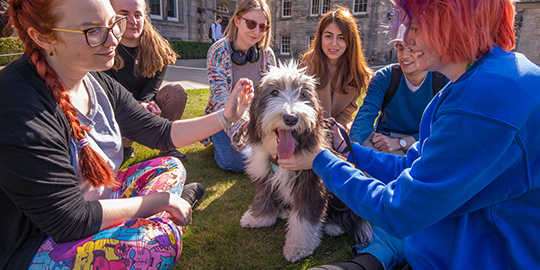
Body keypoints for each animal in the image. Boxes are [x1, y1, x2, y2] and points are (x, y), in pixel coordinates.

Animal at [240, 60, 372, 262]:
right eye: (274, 92)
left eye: (302, 95)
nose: (291, 118)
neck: (282, 156)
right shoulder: (264, 175)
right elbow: (263, 196)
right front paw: (256, 218)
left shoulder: (311, 186)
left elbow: (304, 221)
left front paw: (298, 247)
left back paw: (334, 226)